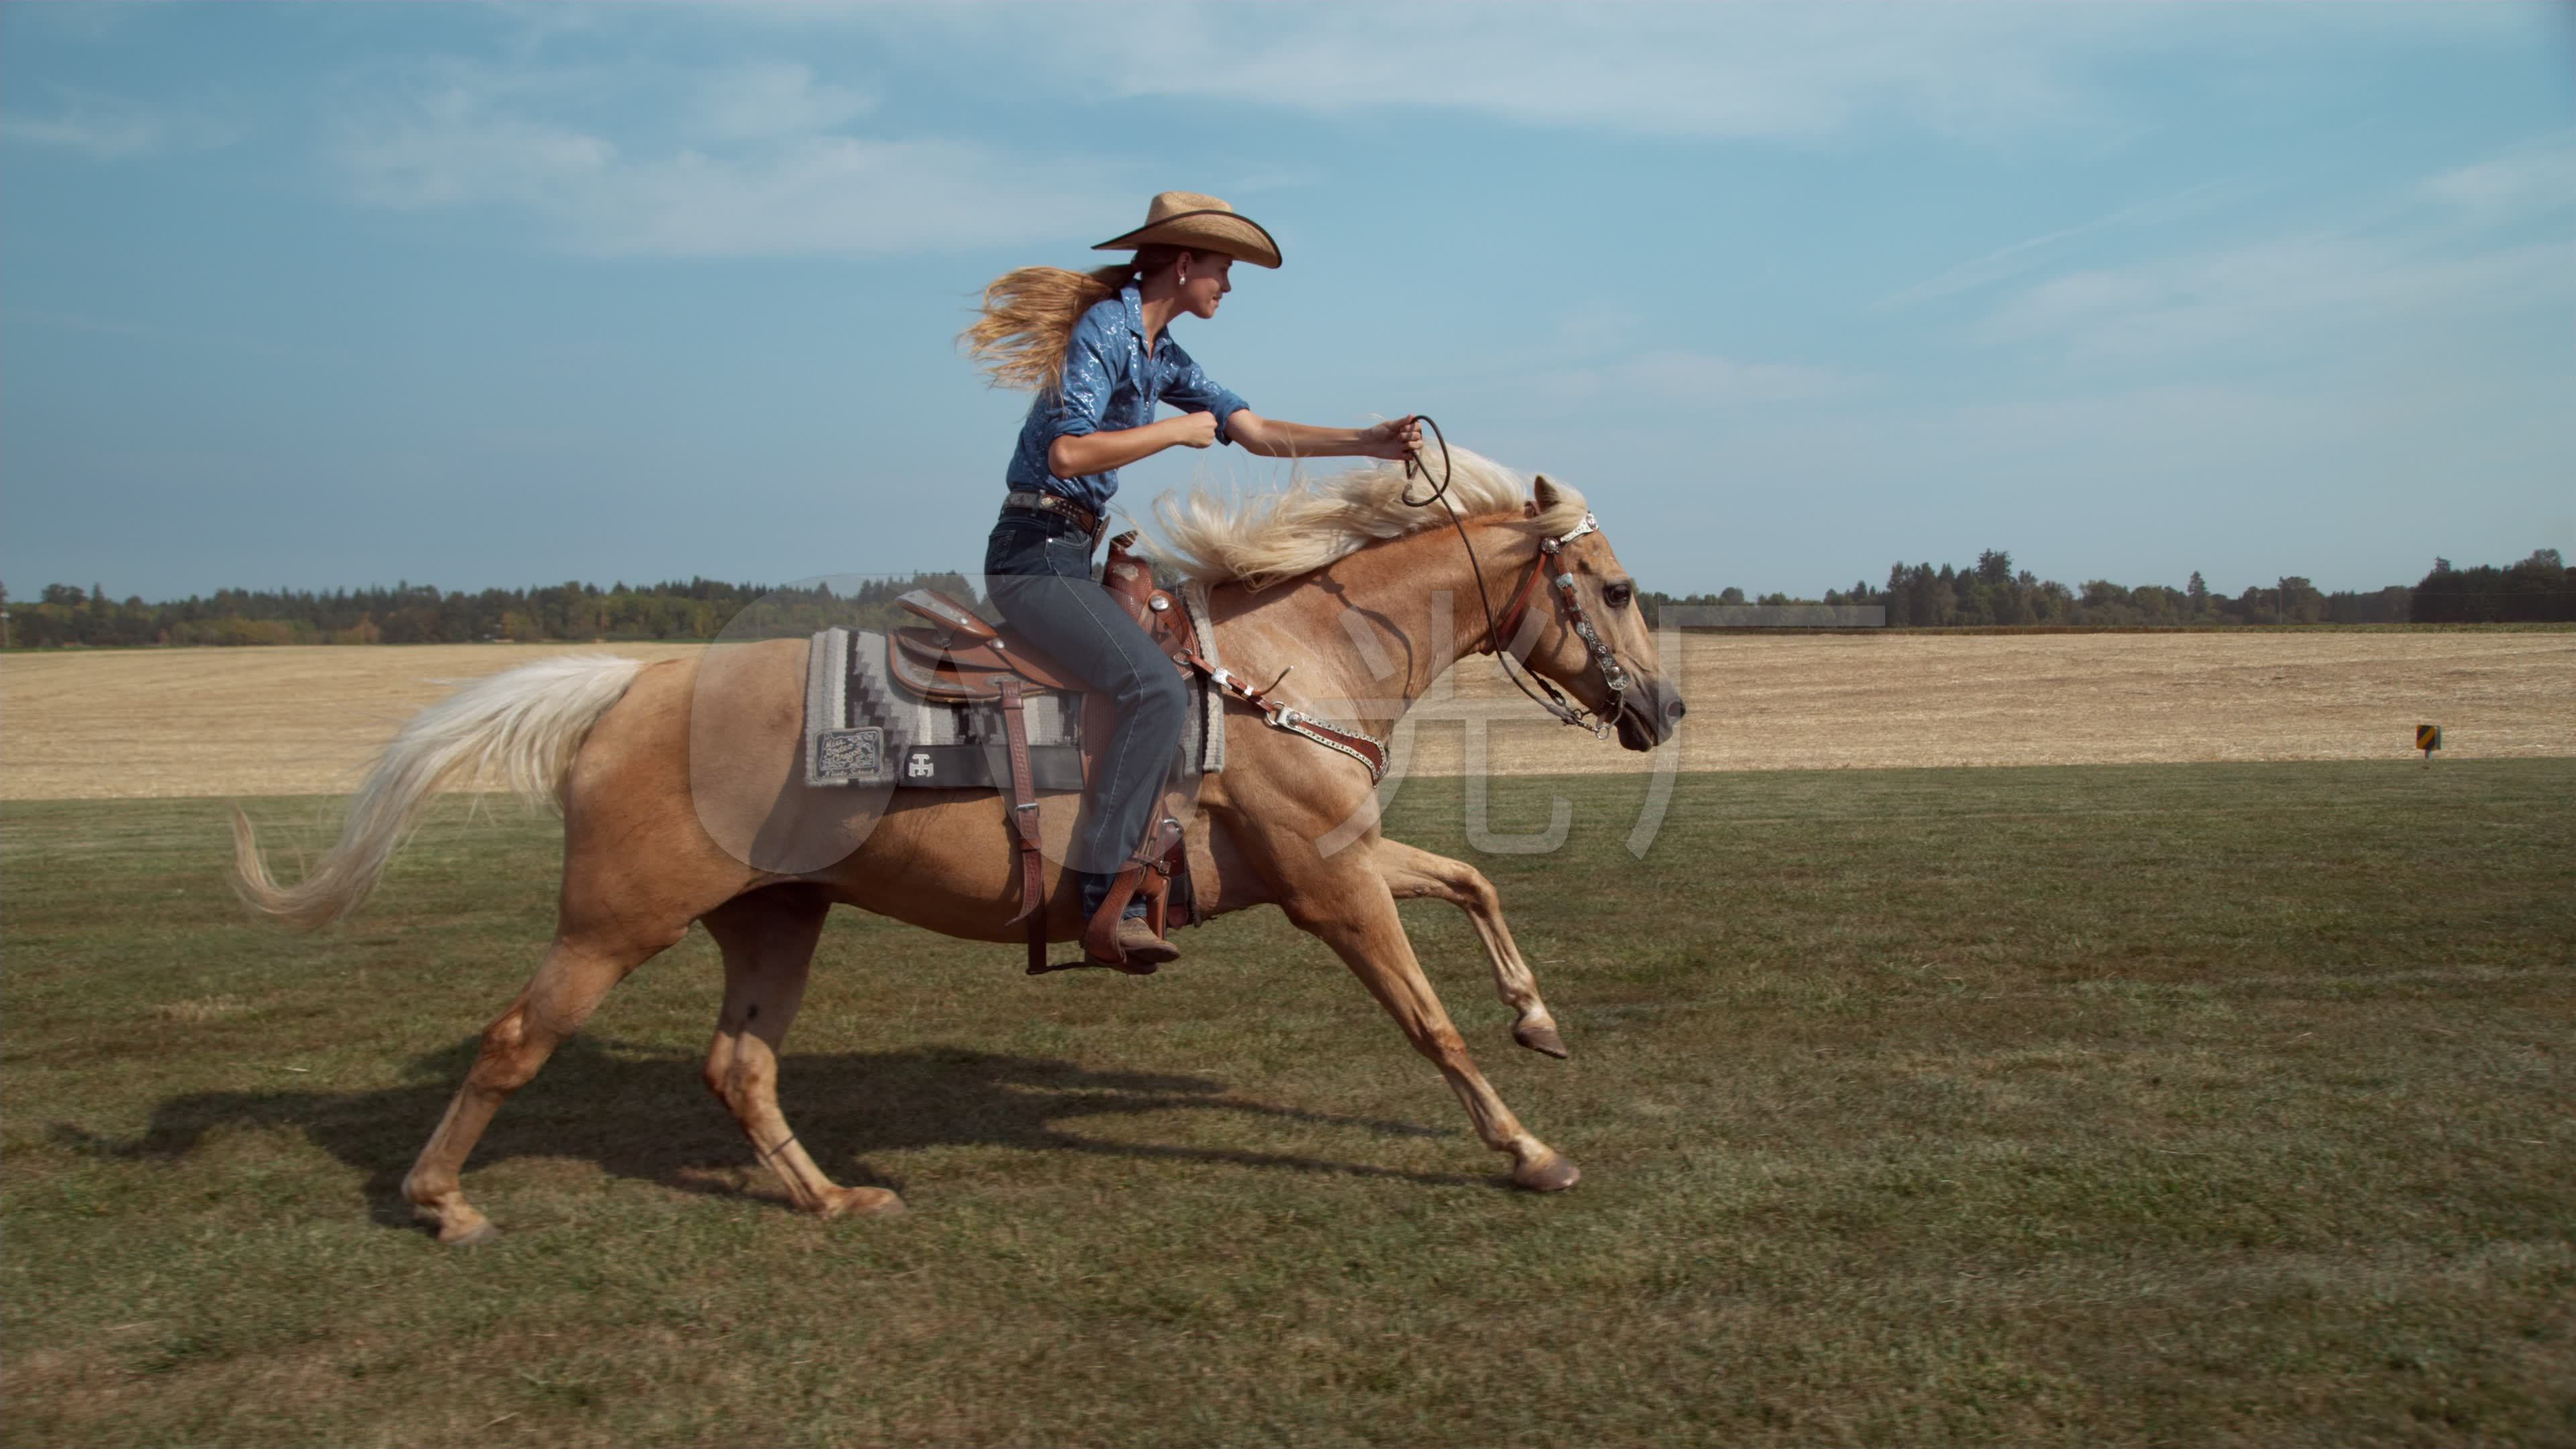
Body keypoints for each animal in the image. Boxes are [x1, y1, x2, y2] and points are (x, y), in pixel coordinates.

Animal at [237, 453, 1690, 1242]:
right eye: (1617, 590)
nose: (1666, 708)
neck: (1284, 665)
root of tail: (634, 684)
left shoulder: (1327, 862)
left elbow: (1473, 882)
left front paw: (1540, 1021)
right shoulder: (1329, 888)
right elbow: (1426, 1021)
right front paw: (1527, 1149)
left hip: (776, 919)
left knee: (737, 1068)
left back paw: (829, 1201)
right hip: (611, 925)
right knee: (512, 1042)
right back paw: (440, 1201)